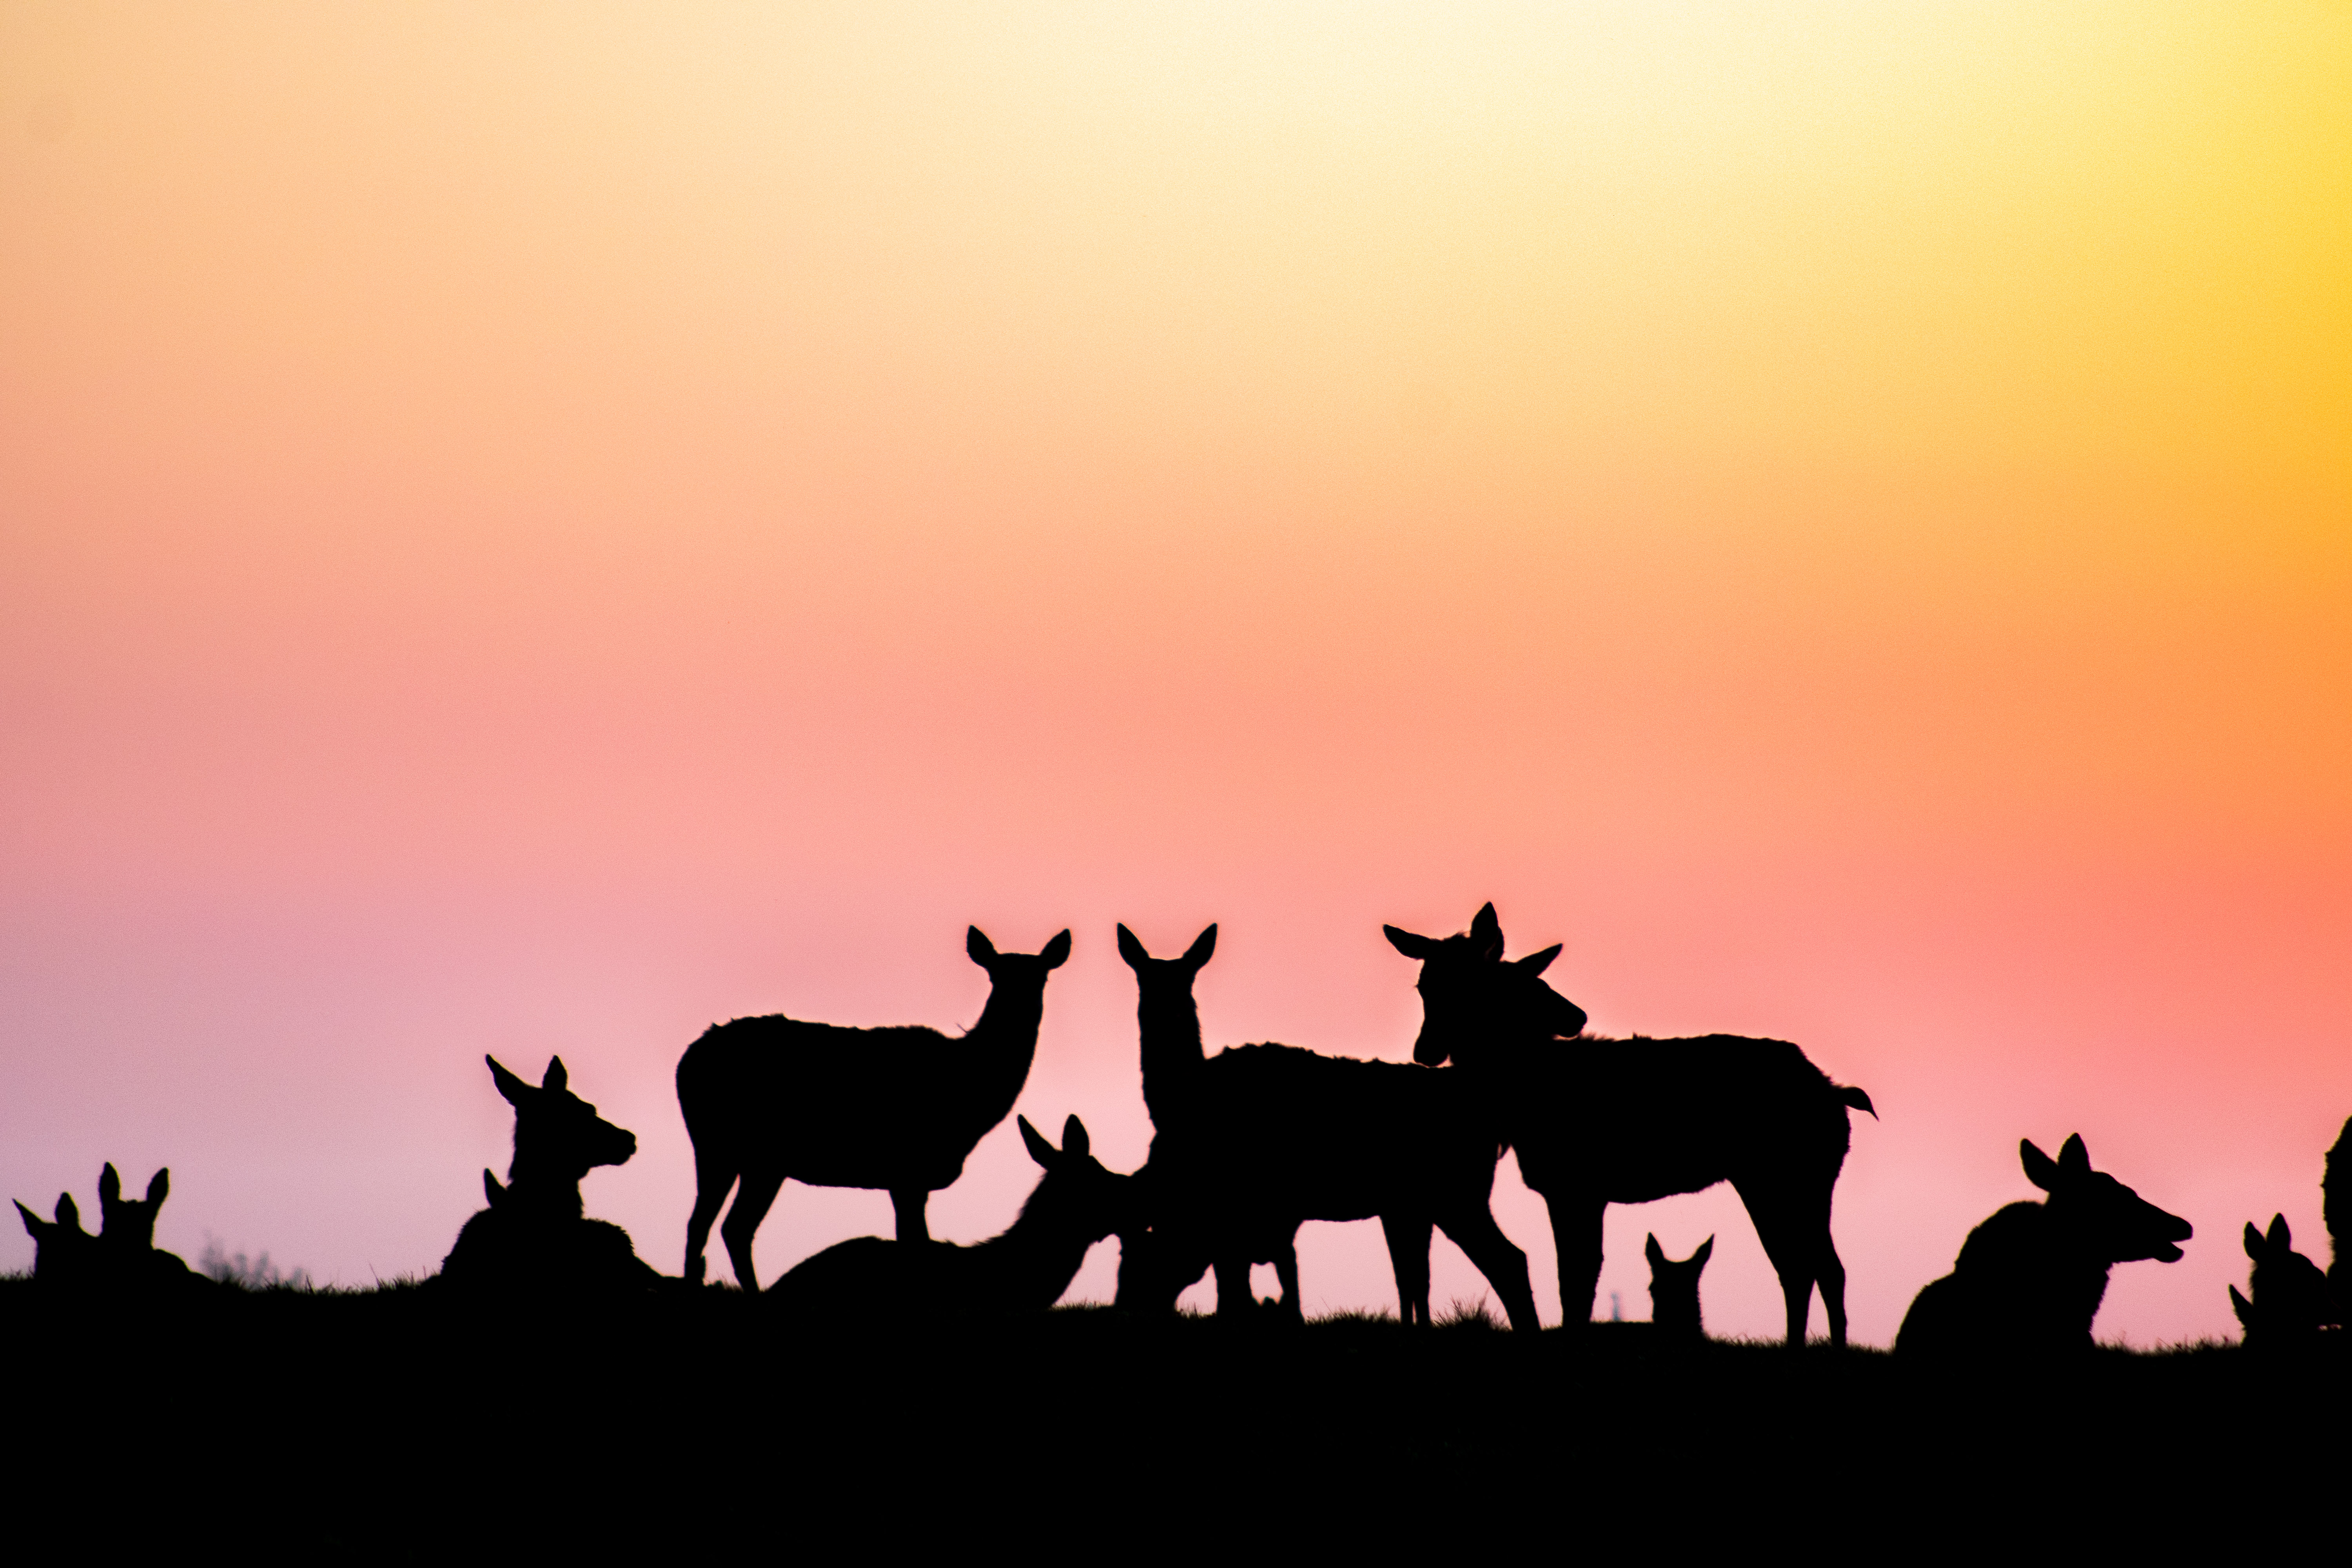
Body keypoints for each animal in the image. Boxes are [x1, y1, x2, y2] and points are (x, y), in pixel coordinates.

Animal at [677, 926, 1071, 1291]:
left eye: (1042, 977)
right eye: (994, 975)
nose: (1020, 1008)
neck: (970, 1101)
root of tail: (686, 1062)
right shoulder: (908, 1171)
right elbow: (913, 1246)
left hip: (752, 1158)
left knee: (724, 1226)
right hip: (722, 1143)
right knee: (715, 1225)